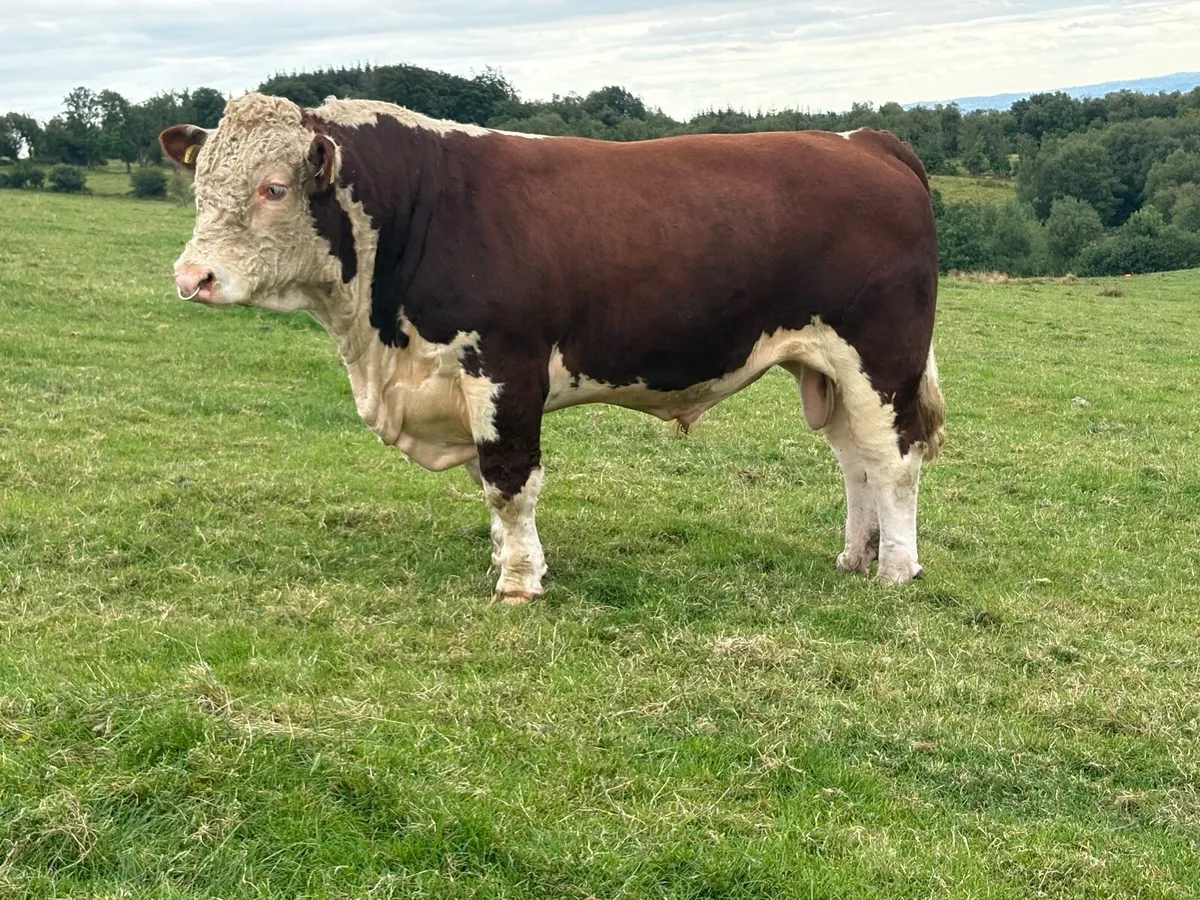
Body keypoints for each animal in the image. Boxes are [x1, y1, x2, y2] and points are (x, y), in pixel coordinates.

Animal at [160, 93, 944, 604]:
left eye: (274, 188)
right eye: (201, 186)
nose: (192, 277)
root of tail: (864, 140)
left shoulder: (504, 367)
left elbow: (508, 481)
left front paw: (518, 581)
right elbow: (487, 480)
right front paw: (506, 561)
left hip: (881, 356)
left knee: (893, 460)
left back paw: (896, 570)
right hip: (825, 366)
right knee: (856, 461)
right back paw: (854, 556)